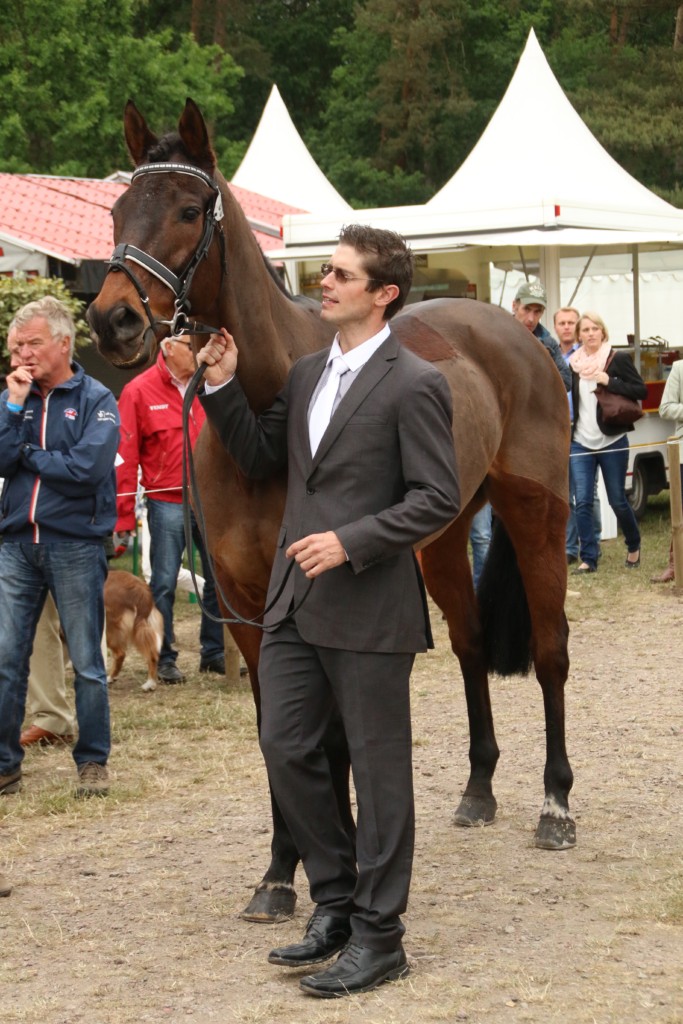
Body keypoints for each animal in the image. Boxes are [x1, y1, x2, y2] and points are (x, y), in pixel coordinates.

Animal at [87, 99, 577, 925]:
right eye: (118, 211)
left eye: (187, 210)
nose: (111, 322)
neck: (264, 411)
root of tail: (517, 332)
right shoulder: (249, 605)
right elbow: (272, 733)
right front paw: (280, 875)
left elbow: (336, 740)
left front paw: (337, 873)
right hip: (442, 538)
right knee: (471, 644)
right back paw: (478, 789)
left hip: (536, 515)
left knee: (548, 652)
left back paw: (555, 806)